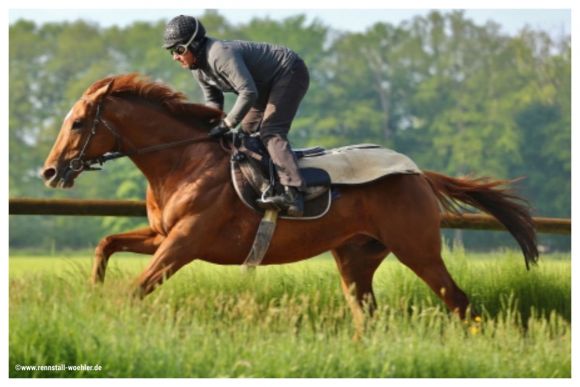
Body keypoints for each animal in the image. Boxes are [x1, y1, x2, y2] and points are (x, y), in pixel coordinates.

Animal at [42, 73, 540, 330]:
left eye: (78, 122)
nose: (49, 171)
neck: (183, 160)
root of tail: (418, 173)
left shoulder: (185, 241)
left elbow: (135, 289)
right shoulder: (162, 234)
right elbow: (106, 244)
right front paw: (92, 293)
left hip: (417, 248)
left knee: (458, 300)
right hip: (355, 256)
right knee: (365, 311)